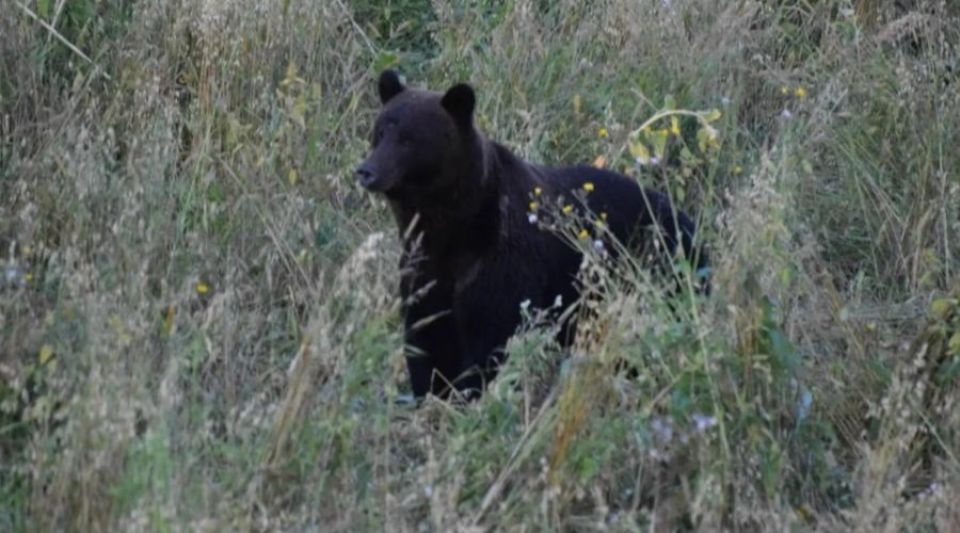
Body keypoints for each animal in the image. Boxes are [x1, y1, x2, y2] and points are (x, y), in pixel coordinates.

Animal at [356, 69, 707, 400]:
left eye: (408, 139)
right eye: (380, 130)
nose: (366, 171)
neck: (452, 224)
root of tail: (688, 219)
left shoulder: (502, 258)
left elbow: (490, 335)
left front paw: (468, 395)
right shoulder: (424, 265)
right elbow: (426, 335)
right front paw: (432, 395)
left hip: (659, 270)